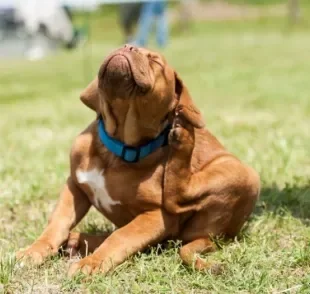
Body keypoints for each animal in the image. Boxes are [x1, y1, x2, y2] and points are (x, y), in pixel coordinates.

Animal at [15, 45, 260, 276]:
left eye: (155, 61)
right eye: (125, 44)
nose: (127, 47)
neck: (117, 148)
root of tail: (215, 236)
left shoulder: (157, 217)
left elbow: (122, 237)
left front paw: (91, 264)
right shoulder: (74, 186)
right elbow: (57, 223)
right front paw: (34, 251)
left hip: (243, 174)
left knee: (176, 198)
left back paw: (184, 138)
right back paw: (76, 241)